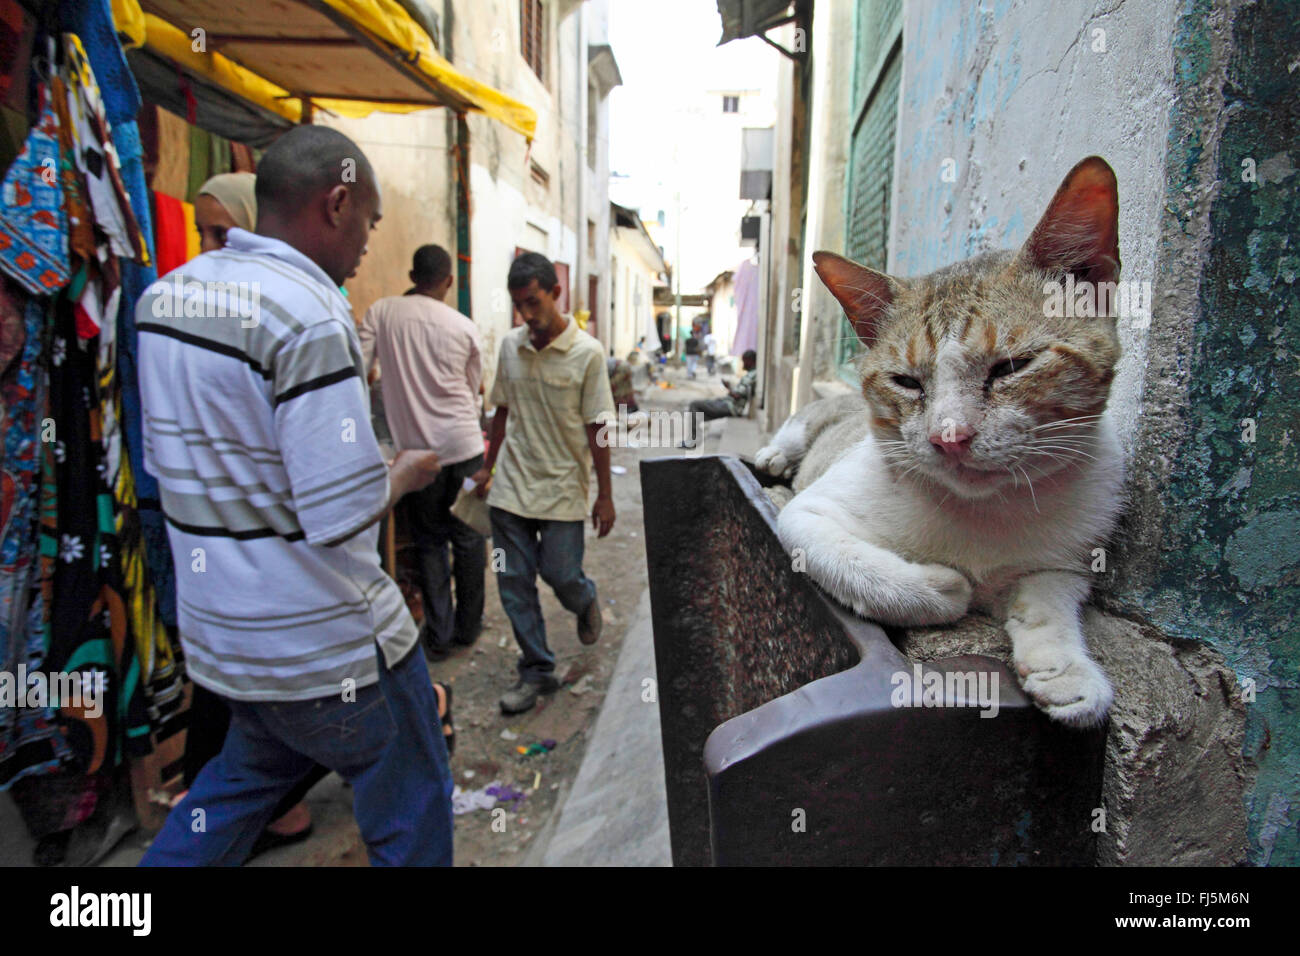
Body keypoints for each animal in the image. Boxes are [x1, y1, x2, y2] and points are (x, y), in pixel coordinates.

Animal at [759, 155, 1128, 723]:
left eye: (1013, 366)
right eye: (907, 381)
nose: (950, 436)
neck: (982, 511)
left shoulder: (1069, 554)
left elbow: (1049, 598)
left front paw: (1064, 668)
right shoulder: (808, 516)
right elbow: (850, 561)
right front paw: (944, 586)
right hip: (811, 424)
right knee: (794, 432)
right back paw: (774, 456)